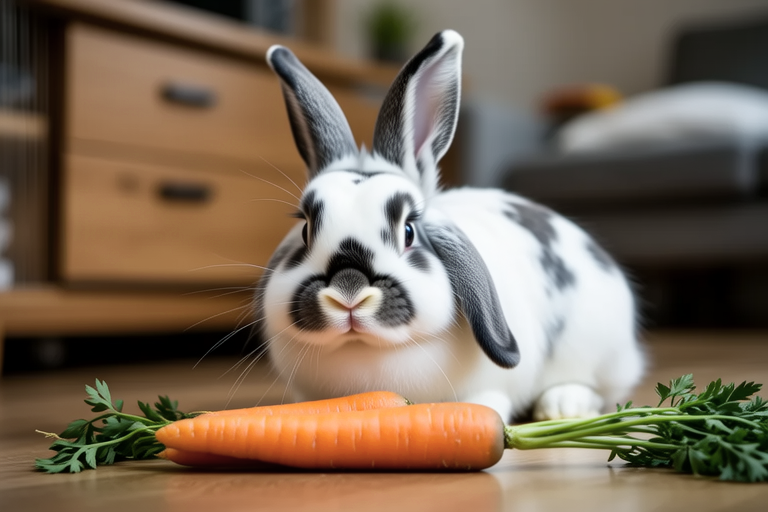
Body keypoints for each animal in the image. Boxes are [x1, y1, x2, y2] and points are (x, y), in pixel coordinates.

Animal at [254, 30, 645, 422]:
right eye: (306, 230)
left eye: (409, 232)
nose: (348, 291)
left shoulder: (491, 385)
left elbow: (487, 401)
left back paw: (562, 407)